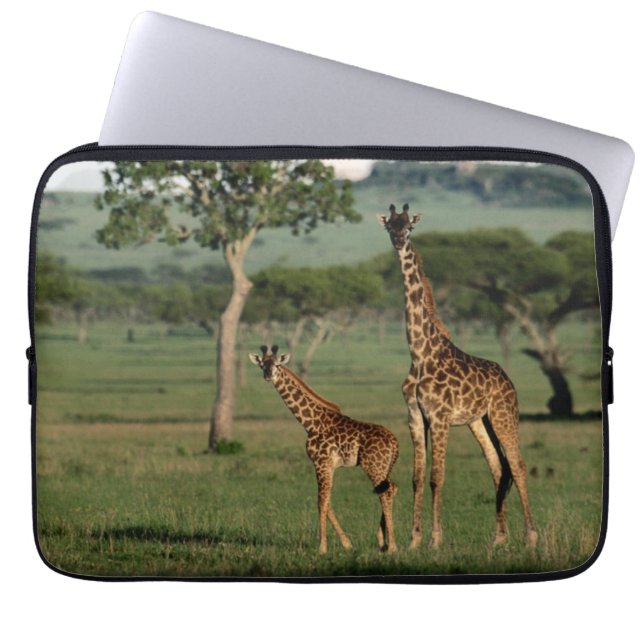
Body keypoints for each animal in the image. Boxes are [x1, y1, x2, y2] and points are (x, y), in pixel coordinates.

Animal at [249, 345, 399, 554]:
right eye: (262, 364)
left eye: (277, 364)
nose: (268, 375)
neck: (310, 423)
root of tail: (395, 442)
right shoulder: (329, 466)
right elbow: (327, 502)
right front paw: (347, 544)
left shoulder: (320, 462)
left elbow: (321, 502)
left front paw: (322, 547)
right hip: (384, 467)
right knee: (391, 488)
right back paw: (383, 541)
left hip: (373, 466)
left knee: (385, 492)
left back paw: (392, 546)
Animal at [378, 204, 538, 549]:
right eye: (389, 227)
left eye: (409, 227)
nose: (398, 240)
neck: (419, 354)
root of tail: (508, 380)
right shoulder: (415, 417)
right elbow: (417, 477)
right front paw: (413, 541)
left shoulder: (439, 417)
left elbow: (437, 477)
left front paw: (435, 540)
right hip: (479, 420)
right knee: (498, 467)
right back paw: (499, 538)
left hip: (504, 415)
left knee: (517, 464)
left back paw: (531, 536)